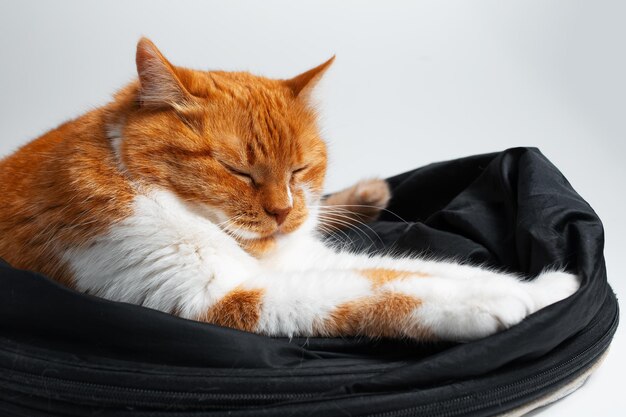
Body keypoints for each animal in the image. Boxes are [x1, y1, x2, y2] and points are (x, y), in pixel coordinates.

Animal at [0, 37, 580, 340]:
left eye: (300, 170)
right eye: (237, 171)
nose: (283, 212)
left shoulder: (305, 258)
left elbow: (410, 269)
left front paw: (540, 289)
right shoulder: (215, 295)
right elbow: (369, 294)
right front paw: (490, 304)